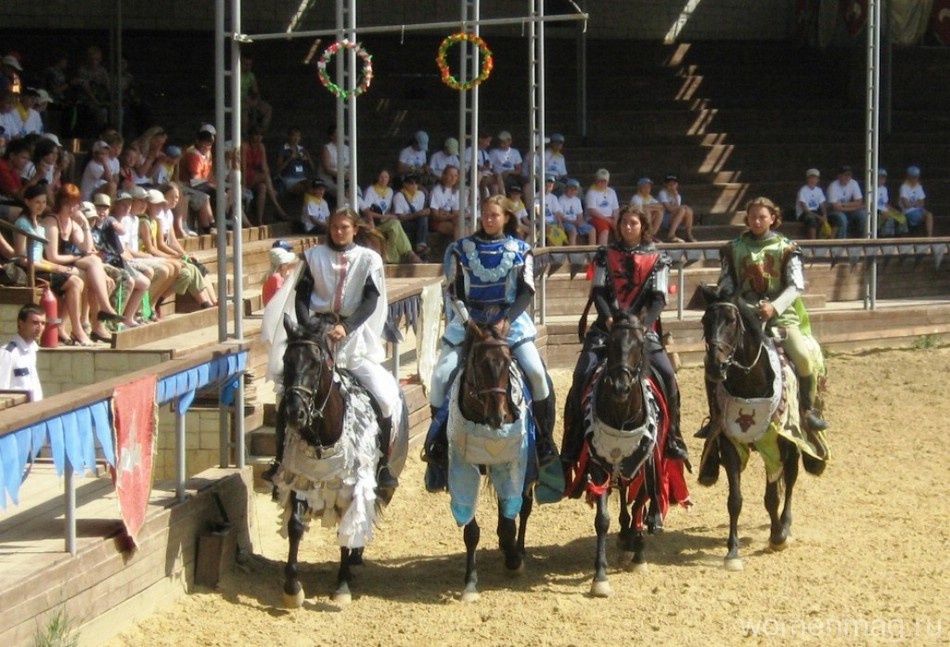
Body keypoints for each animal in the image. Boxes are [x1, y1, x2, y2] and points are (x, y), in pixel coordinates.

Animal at [278, 314, 408, 608]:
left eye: (316, 364)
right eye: (286, 360)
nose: (294, 413)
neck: (323, 438)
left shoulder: (355, 485)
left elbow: (348, 529)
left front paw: (342, 585)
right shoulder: (301, 480)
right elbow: (295, 526)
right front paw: (292, 588)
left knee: (364, 517)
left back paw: (356, 558)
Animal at [700, 288, 824, 572]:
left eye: (731, 321)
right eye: (704, 321)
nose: (714, 366)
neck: (750, 383)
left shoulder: (778, 444)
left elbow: (772, 498)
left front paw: (777, 536)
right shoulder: (731, 444)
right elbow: (735, 500)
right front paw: (732, 552)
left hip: (794, 444)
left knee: (790, 481)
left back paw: (785, 526)